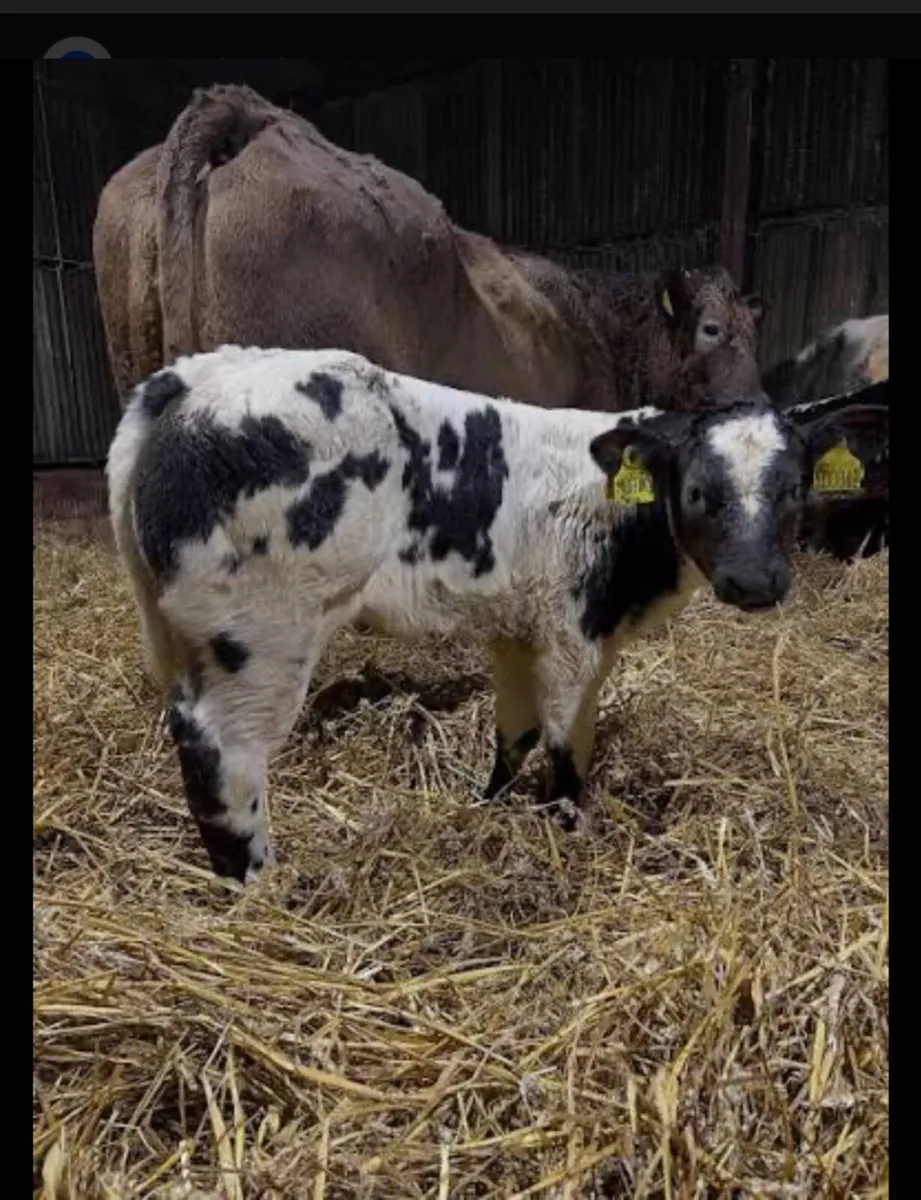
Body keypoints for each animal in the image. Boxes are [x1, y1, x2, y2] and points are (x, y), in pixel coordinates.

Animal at [106, 345, 888, 884]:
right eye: (697, 489)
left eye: (795, 488)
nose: (755, 582)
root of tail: (193, 379)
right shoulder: (575, 635)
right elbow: (567, 746)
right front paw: (565, 830)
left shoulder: (516, 630)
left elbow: (513, 734)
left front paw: (488, 812)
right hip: (262, 634)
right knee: (225, 751)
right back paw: (258, 886)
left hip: (188, 634)